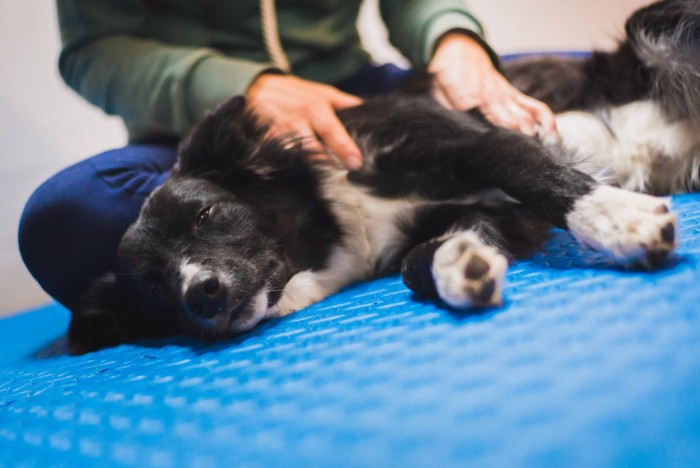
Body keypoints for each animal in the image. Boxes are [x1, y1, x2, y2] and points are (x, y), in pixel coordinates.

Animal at [68, 0, 696, 352]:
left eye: (205, 214)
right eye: (155, 289)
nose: (200, 295)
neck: (341, 210)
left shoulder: (479, 140)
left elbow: (539, 176)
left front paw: (618, 220)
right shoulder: (490, 213)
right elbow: (420, 261)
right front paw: (458, 265)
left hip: (651, 26)